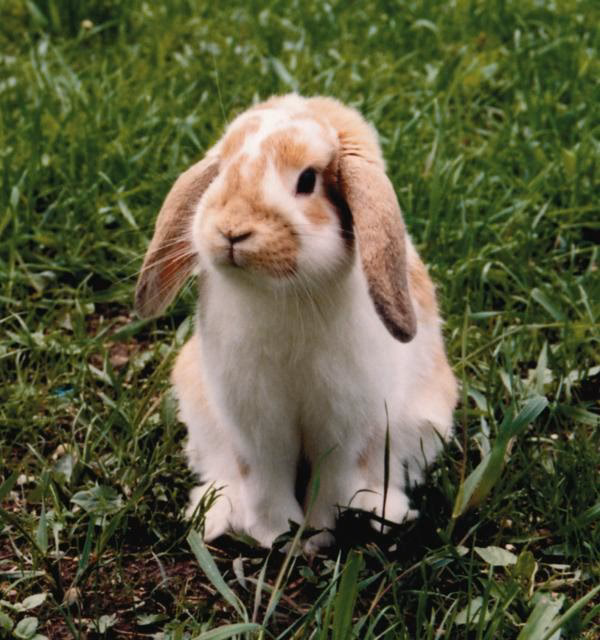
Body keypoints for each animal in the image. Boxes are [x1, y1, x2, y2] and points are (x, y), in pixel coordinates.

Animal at [135, 94, 458, 548]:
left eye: (307, 181)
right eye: (222, 171)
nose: (232, 231)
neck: (281, 295)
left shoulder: (343, 422)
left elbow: (332, 481)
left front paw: (316, 537)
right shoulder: (252, 421)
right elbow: (263, 477)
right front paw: (276, 535)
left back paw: (383, 514)